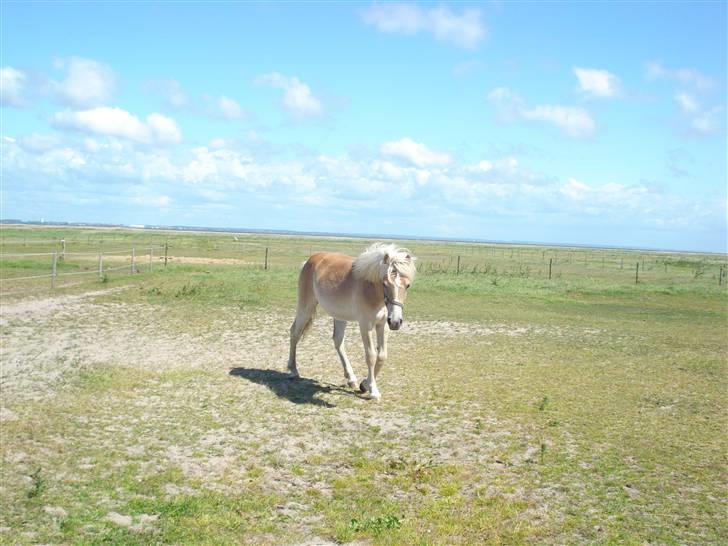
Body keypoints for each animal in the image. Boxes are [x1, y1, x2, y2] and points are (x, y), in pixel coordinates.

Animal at [288, 242, 418, 400]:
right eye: (385, 283)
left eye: (408, 285)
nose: (395, 321)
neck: (371, 289)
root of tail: (310, 260)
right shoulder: (365, 325)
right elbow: (371, 356)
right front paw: (373, 391)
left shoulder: (382, 325)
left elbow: (382, 356)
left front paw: (364, 384)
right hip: (305, 307)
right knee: (294, 333)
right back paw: (293, 370)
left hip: (339, 316)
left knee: (338, 341)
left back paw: (351, 379)